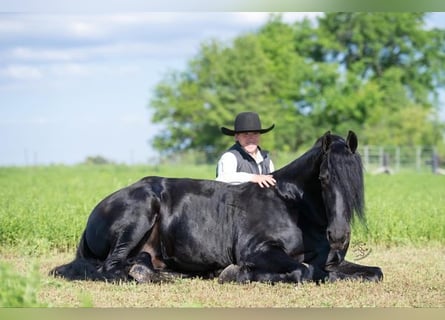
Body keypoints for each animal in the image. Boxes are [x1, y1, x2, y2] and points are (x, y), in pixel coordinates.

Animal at [49, 131, 382, 284]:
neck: (292, 207)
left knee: (136, 264)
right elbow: (302, 271)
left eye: (357, 179)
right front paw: (236, 273)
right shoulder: (259, 251)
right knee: (111, 269)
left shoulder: (332, 262)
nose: (338, 236)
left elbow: (374, 272)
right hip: (138, 216)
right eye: (324, 178)